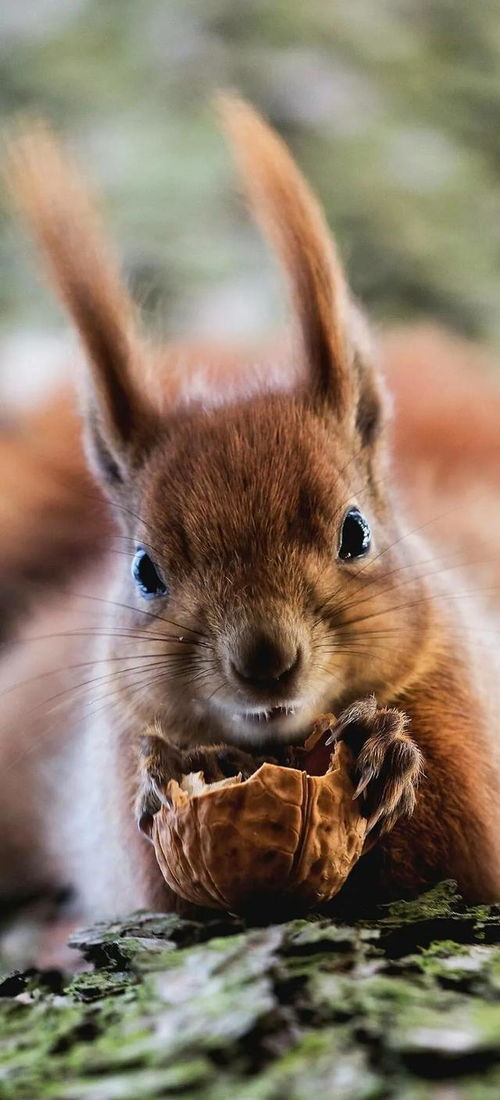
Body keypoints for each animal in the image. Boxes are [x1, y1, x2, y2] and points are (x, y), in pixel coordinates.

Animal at [0, 96, 500, 919]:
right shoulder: (108, 763)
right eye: (144, 571)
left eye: (356, 532)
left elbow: (467, 833)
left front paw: (386, 747)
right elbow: (155, 872)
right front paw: (166, 772)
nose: (265, 661)